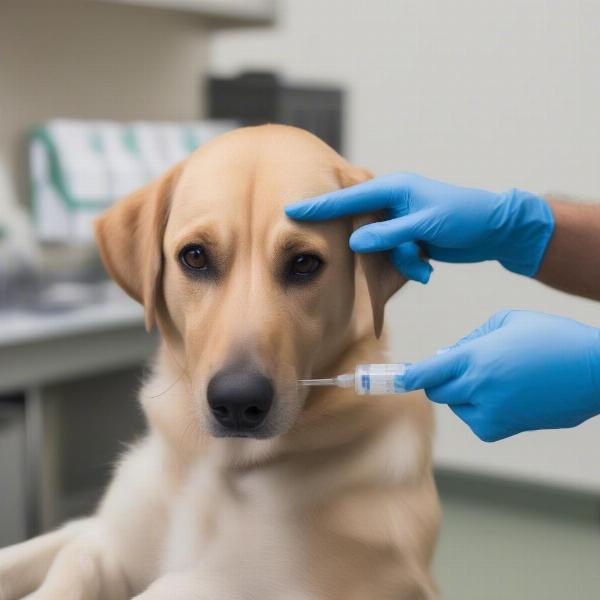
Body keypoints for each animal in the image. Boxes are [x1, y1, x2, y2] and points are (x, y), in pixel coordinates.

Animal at [0, 126, 440, 600]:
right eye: (195, 256)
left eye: (304, 262)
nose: (238, 402)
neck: (207, 464)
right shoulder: (108, 538)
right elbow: (67, 556)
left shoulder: (239, 583)